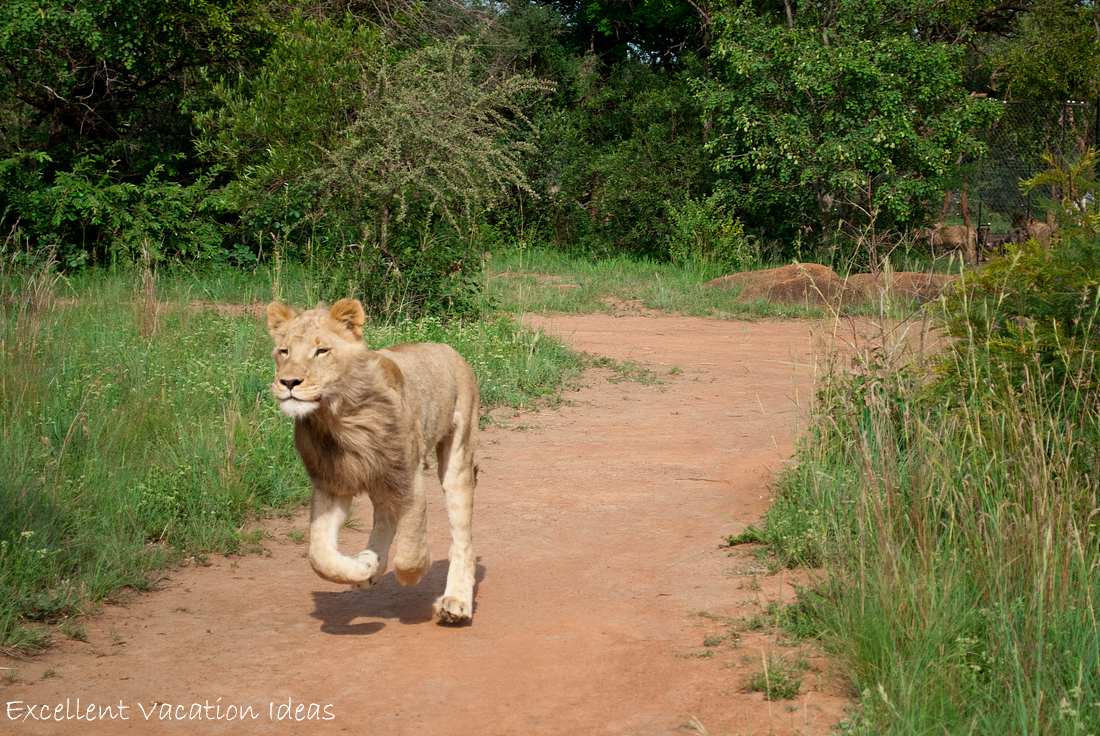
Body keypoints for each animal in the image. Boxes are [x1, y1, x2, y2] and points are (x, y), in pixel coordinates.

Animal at [264, 294, 479, 624]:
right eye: (283, 351)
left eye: (321, 351)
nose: (288, 382)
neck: (340, 419)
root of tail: (449, 349)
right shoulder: (332, 484)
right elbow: (319, 555)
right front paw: (363, 566)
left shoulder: (407, 475)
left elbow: (410, 549)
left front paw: (412, 572)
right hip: (380, 480)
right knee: (384, 516)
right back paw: (371, 560)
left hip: (457, 457)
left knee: (462, 538)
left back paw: (455, 602)